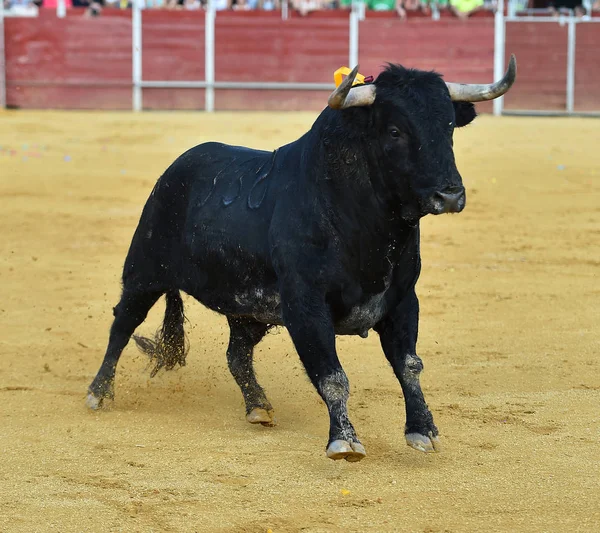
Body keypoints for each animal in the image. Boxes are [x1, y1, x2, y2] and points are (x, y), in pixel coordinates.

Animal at [88, 56, 516, 460]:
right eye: (395, 131)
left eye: (449, 126)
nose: (450, 194)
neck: (364, 223)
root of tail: (177, 168)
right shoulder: (306, 305)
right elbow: (333, 376)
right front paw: (344, 441)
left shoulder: (402, 300)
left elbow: (409, 365)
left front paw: (423, 430)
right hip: (144, 272)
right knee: (122, 324)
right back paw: (98, 393)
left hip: (251, 310)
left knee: (237, 354)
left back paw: (258, 406)